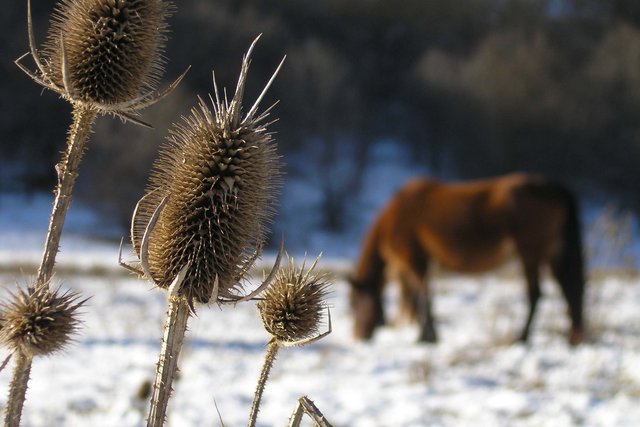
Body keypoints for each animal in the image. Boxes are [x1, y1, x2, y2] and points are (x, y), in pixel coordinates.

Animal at [350, 172, 584, 346]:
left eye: (353, 303)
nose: (358, 336)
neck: (393, 218)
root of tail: (556, 189)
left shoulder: (414, 259)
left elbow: (422, 297)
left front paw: (427, 338)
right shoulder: (415, 263)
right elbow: (419, 298)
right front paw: (425, 336)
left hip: (530, 252)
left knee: (536, 294)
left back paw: (522, 338)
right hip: (555, 252)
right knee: (570, 290)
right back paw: (573, 338)